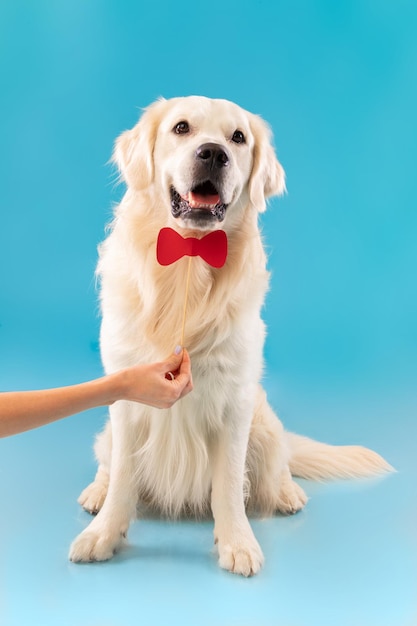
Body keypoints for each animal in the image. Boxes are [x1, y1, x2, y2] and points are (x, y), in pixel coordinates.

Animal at [69, 95, 394, 572]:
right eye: (181, 128)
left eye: (237, 137)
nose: (213, 154)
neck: (189, 257)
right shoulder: (128, 394)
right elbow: (124, 475)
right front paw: (103, 534)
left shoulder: (234, 402)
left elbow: (227, 484)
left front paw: (238, 542)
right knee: (107, 463)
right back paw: (96, 491)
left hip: (264, 422)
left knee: (275, 465)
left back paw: (287, 492)